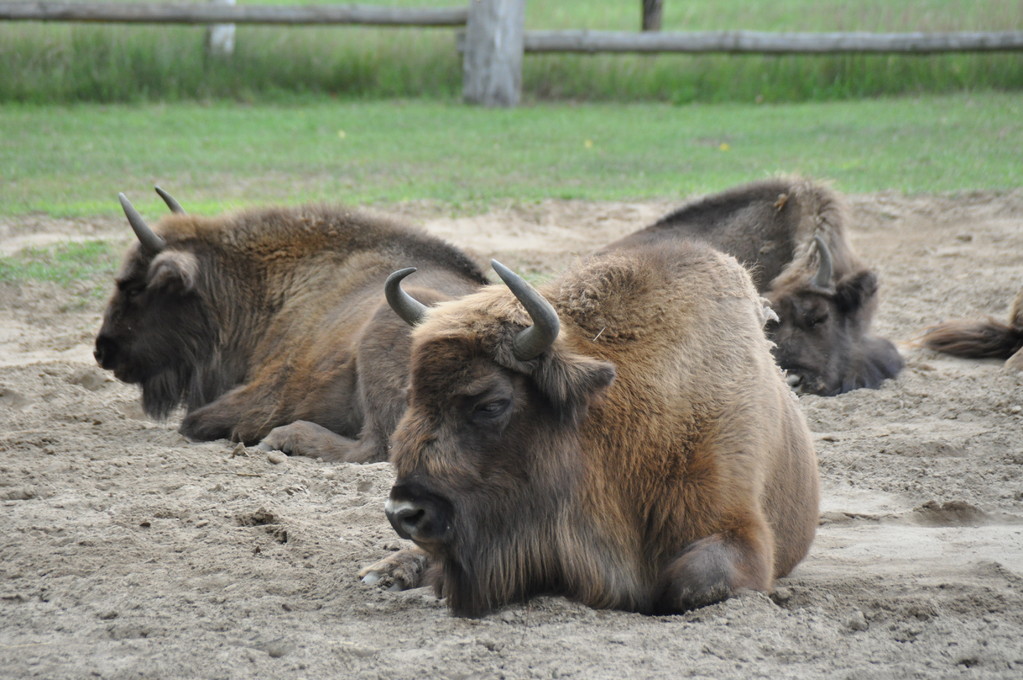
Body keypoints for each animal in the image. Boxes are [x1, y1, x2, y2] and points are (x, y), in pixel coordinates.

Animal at [93, 188, 486, 458]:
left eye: (135, 288)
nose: (102, 350)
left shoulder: (264, 395)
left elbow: (194, 422)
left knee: (378, 446)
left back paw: (283, 439)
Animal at [364, 242, 818, 613]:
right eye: (412, 396)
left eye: (491, 404)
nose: (405, 512)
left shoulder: (739, 525)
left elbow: (693, 583)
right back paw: (383, 574)